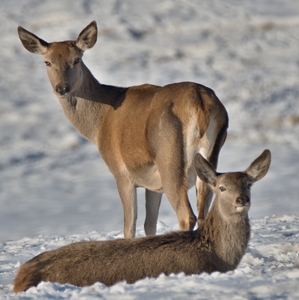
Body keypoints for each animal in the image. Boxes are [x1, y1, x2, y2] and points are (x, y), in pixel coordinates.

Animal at [17, 20, 229, 239]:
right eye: (47, 62)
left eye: (76, 60)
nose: (62, 88)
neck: (99, 124)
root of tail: (199, 103)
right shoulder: (154, 185)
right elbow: (149, 224)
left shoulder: (122, 173)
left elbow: (129, 227)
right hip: (209, 159)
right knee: (203, 215)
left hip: (169, 158)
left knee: (187, 216)